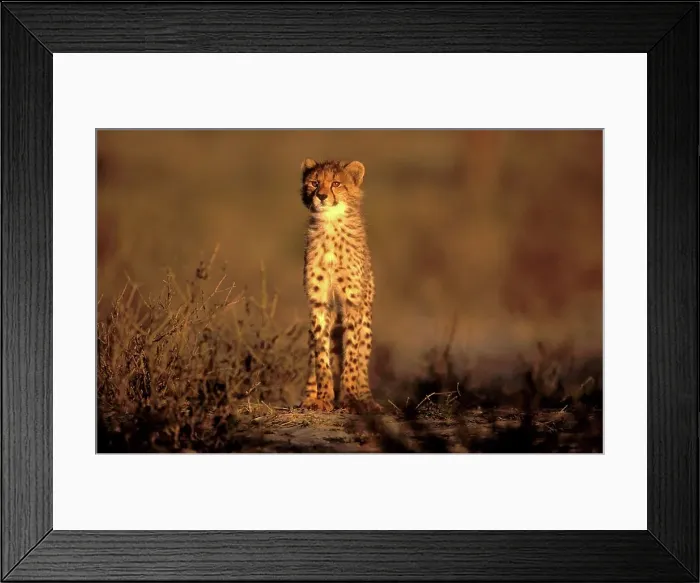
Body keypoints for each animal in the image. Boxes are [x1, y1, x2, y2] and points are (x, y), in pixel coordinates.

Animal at [298, 158, 381, 414]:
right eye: (314, 183)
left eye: (336, 183)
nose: (322, 196)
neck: (330, 225)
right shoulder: (319, 302)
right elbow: (321, 357)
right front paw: (323, 398)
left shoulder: (352, 303)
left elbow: (352, 354)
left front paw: (350, 398)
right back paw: (309, 398)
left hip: (367, 321)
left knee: (362, 359)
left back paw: (366, 401)